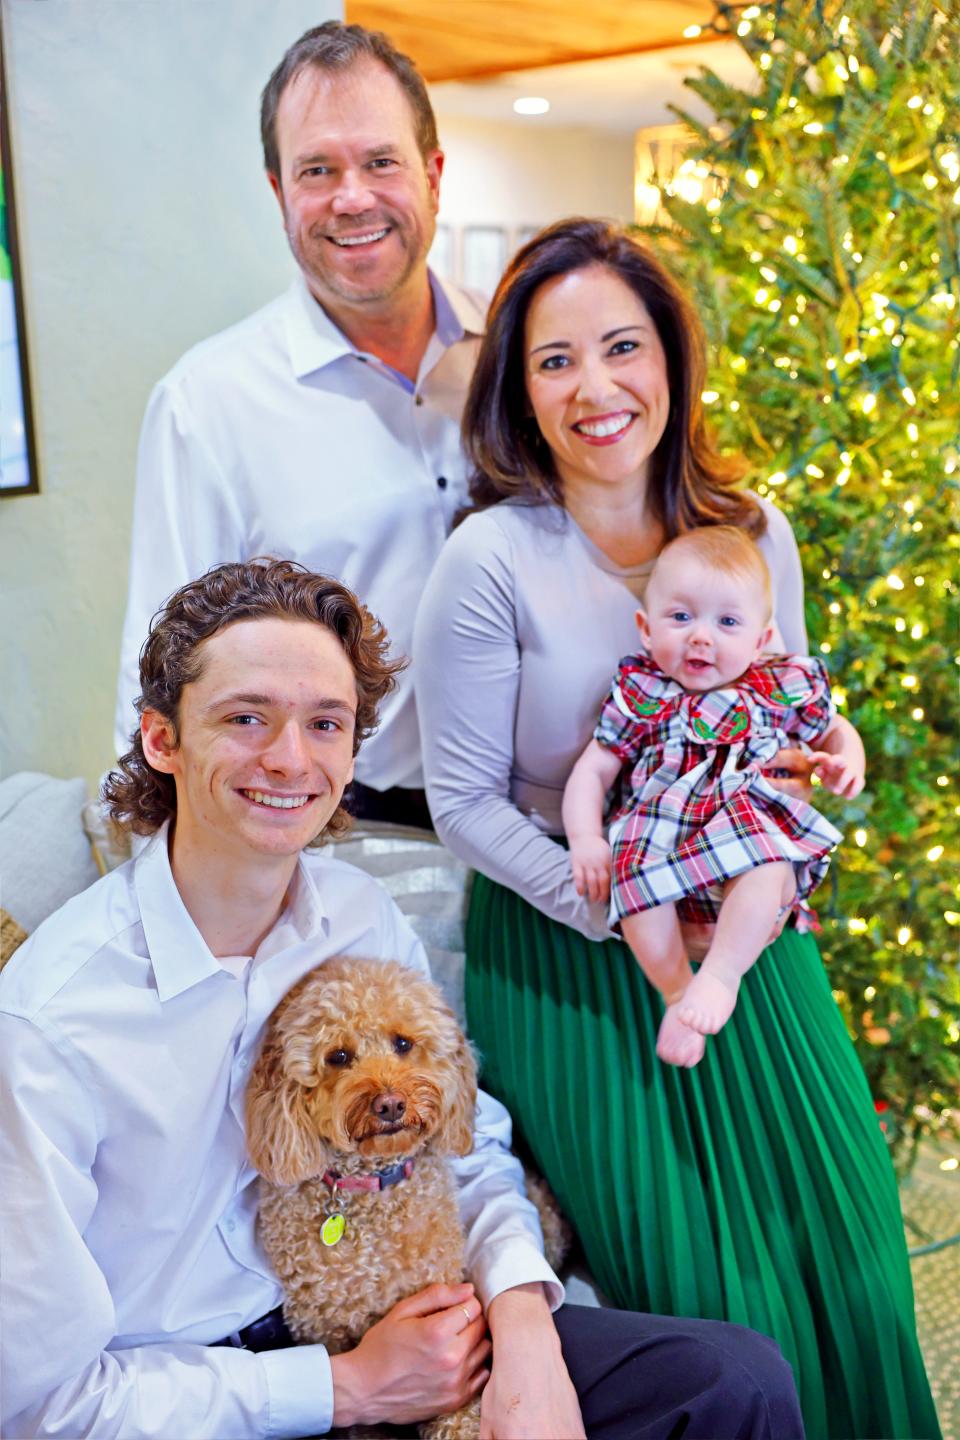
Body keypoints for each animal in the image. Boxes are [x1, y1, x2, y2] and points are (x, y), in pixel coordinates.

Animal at [247, 956, 483, 1440]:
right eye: (338, 1056)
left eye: (403, 1043)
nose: (390, 1104)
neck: (372, 1192)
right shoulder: (329, 1331)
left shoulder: (446, 1296)